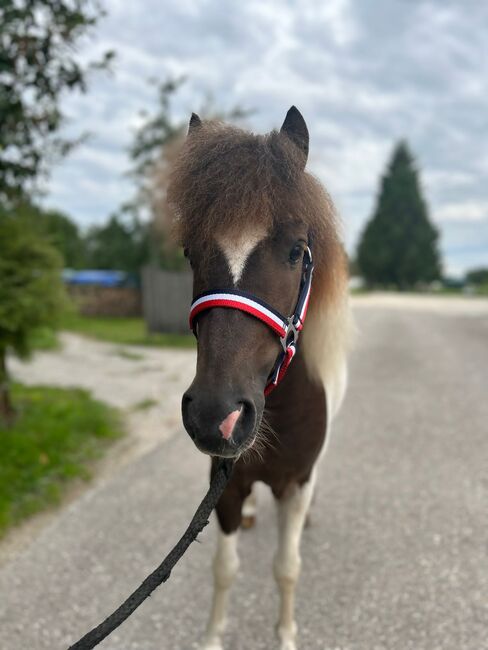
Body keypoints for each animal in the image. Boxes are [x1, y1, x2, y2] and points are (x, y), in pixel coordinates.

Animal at [168, 106, 350, 648]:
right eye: (190, 251)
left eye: (296, 251)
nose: (216, 416)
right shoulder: (223, 485)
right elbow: (224, 568)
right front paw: (211, 638)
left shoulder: (295, 484)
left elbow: (286, 568)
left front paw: (286, 635)